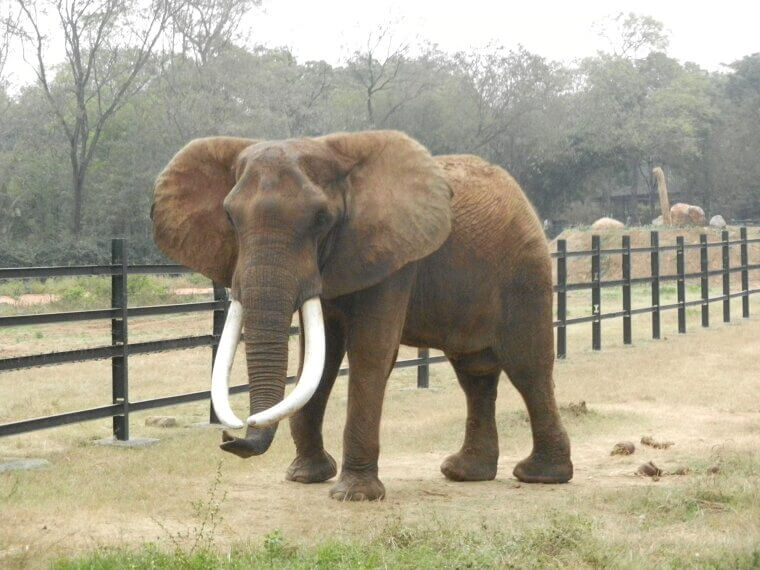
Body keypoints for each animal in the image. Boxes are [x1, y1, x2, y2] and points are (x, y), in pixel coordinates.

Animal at [151, 130, 573, 501]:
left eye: (321, 219)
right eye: (230, 217)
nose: (233, 438)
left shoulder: (392, 256)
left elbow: (371, 352)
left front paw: (353, 495)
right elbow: (318, 359)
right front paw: (304, 477)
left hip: (524, 270)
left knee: (527, 367)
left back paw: (541, 476)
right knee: (475, 373)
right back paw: (464, 473)